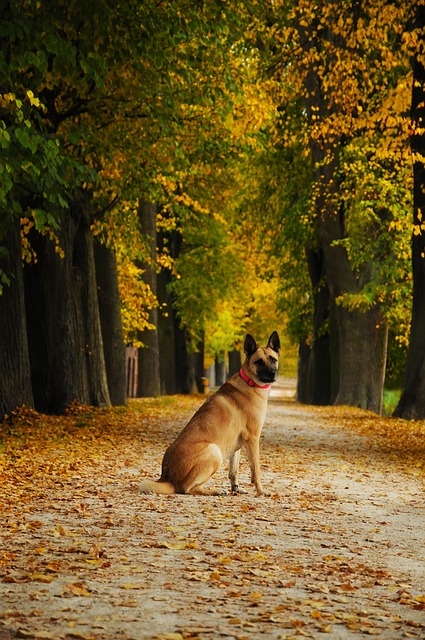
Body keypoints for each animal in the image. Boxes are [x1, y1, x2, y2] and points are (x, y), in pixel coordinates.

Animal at [137, 332, 280, 498]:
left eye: (273, 359)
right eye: (259, 362)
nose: (272, 374)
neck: (249, 381)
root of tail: (167, 477)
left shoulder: (236, 446)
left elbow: (234, 471)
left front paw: (236, 489)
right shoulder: (253, 438)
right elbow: (256, 469)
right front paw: (261, 490)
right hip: (214, 450)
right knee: (187, 488)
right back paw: (215, 490)